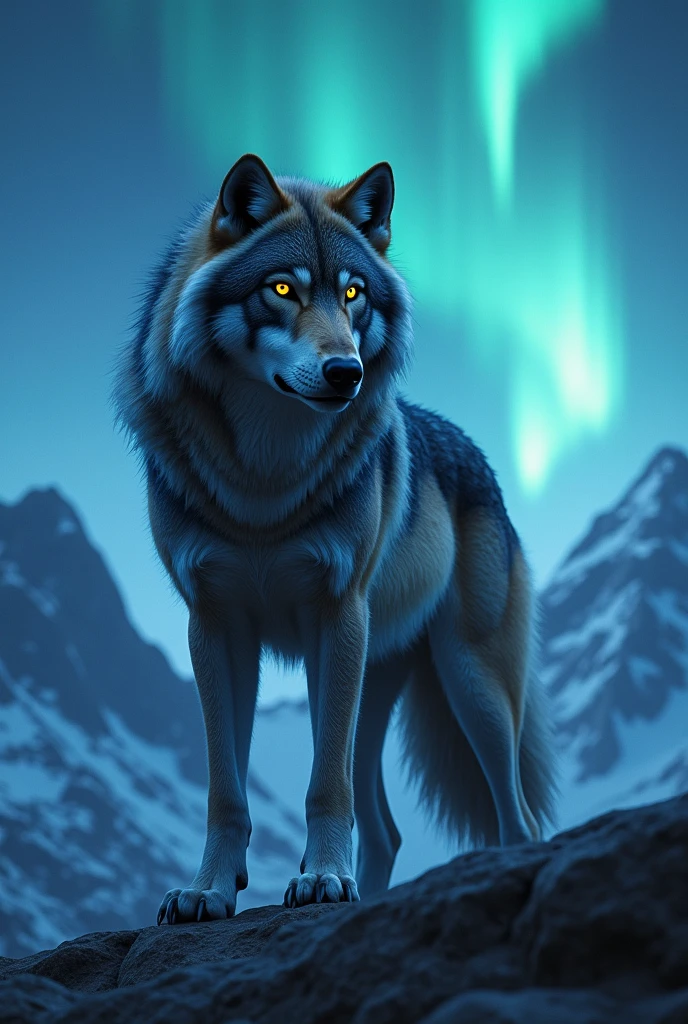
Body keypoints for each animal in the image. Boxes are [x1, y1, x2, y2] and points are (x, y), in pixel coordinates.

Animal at [113, 153, 558, 923]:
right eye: (282, 289)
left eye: (353, 294)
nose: (346, 372)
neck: (264, 484)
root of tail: (483, 460)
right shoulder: (216, 625)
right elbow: (226, 789)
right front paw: (209, 890)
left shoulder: (336, 613)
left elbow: (326, 784)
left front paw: (320, 878)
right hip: (375, 684)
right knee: (386, 828)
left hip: (466, 683)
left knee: (516, 816)